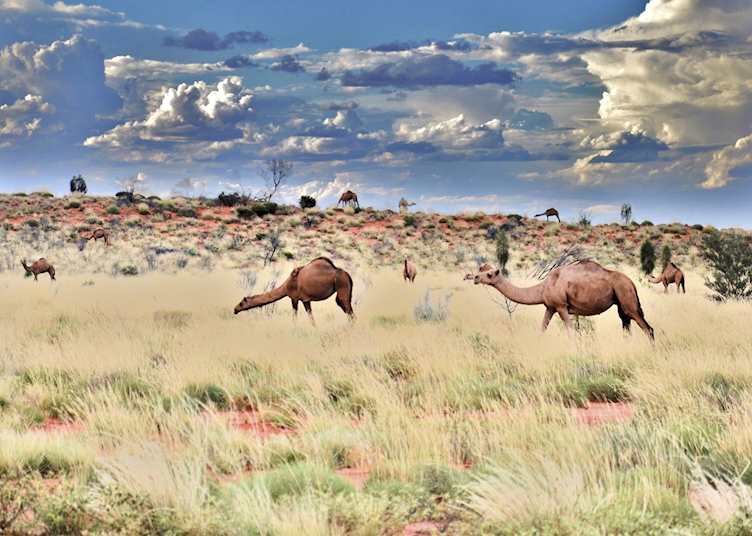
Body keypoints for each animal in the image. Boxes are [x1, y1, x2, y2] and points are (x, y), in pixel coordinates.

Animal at [465, 261, 654, 340]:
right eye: (481, 270)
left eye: (490, 274)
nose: (474, 277)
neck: (543, 287)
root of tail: (631, 282)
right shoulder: (550, 307)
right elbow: (542, 329)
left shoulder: (562, 307)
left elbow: (571, 332)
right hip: (620, 303)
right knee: (626, 326)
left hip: (626, 297)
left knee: (647, 328)